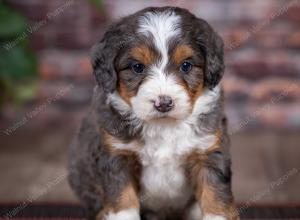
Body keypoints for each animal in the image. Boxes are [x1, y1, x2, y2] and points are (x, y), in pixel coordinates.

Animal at [68, 6, 239, 220]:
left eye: (186, 65)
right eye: (137, 67)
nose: (163, 103)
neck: (163, 126)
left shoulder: (208, 151)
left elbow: (215, 194)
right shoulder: (116, 154)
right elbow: (123, 198)